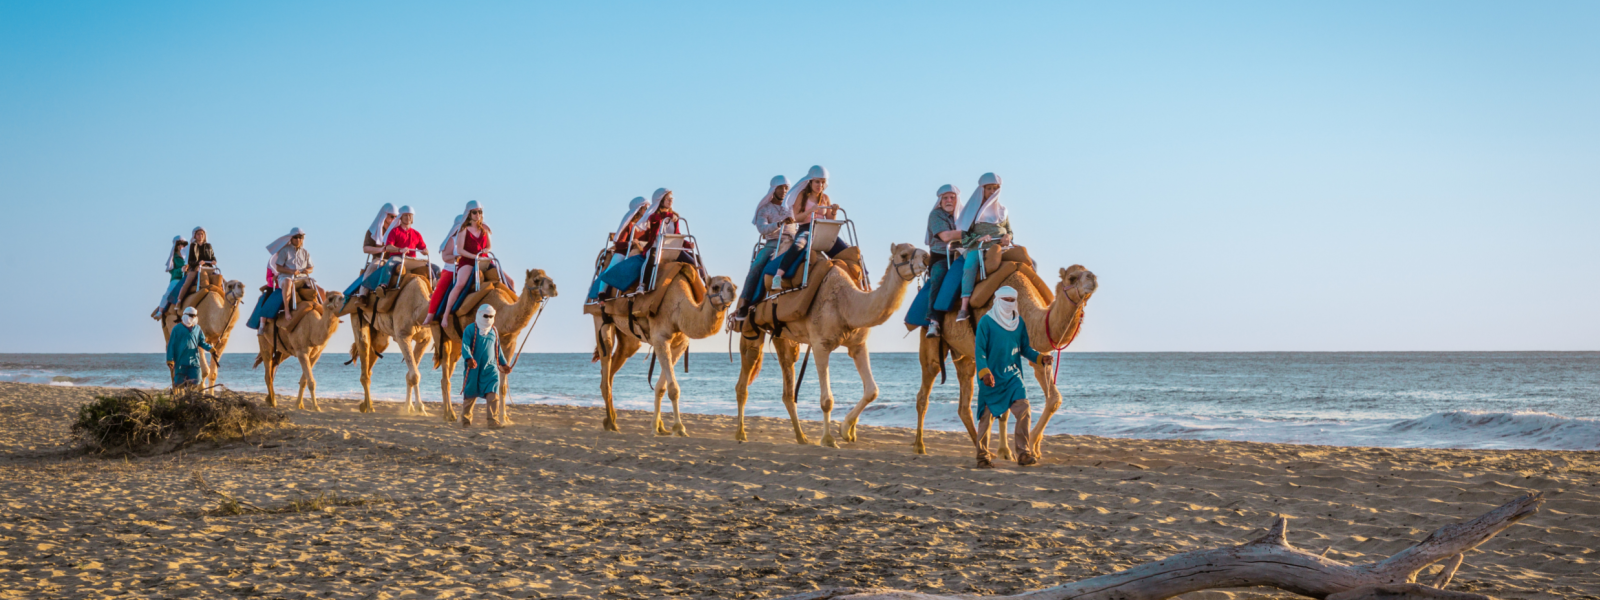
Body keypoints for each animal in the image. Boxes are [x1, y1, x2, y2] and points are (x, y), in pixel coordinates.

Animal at [345, 275, 432, 416]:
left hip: (378, 332)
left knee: (376, 350)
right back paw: (369, 407)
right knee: (363, 345)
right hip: (356, 313)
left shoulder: (425, 339)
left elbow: (410, 374)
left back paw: (364, 405)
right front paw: (420, 408)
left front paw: (408, 408)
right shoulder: (402, 336)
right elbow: (414, 375)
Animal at [432, 270, 563, 425]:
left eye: (550, 277)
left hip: (456, 343)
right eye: (536, 280)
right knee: (446, 376)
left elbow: (503, 385)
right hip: (440, 333)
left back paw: (449, 414)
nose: (554, 287)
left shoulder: (510, 344)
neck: (500, 314)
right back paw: (450, 414)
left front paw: (504, 418)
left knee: (447, 374)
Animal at [592, 272, 732, 438]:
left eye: (735, 285)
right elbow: (673, 389)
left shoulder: (680, 343)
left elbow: (661, 387)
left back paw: (610, 419)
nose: (732, 291)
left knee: (615, 364)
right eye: (715, 287)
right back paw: (612, 424)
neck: (679, 310)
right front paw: (679, 428)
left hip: (627, 337)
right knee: (606, 351)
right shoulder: (660, 338)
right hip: (600, 317)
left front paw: (658, 426)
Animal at [732, 241, 934, 448]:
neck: (846, 304)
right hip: (751, 327)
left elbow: (872, 391)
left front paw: (847, 430)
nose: (927, 258)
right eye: (904, 255)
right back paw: (741, 433)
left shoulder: (858, 345)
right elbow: (827, 400)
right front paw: (829, 439)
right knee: (746, 371)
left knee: (788, 383)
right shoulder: (820, 344)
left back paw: (801, 437)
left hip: (782, 336)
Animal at [921, 262, 1094, 460]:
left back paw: (981, 447)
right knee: (926, 385)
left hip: (964, 356)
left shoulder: (1036, 348)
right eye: (1072, 278)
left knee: (964, 401)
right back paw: (920, 447)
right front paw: (1014, 449)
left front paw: (1031, 447)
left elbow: (1053, 398)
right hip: (931, 339)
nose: (1092, 278)